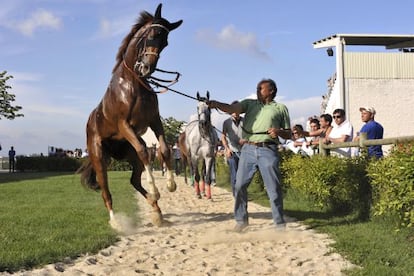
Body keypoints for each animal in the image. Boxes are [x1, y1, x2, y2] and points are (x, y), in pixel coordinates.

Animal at [77, 3, 181, 226]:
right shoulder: (125, 125)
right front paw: (156, 189)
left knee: (134, 180)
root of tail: (90, 123)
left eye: (165, 42)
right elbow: (144, 150)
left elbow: (164, 149)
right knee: (106, 192)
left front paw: (170, 185)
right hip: (100, 159)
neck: (134, 83)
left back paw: (156, 210)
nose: (146, 68)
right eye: (152, 35)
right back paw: (117, 222)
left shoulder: (154, 120)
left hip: (127, 155)